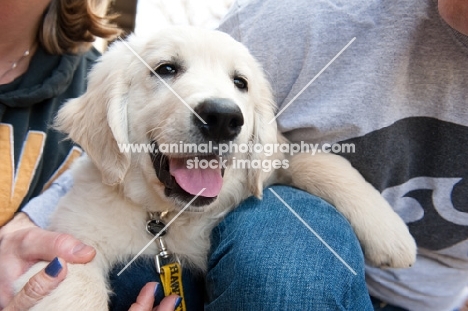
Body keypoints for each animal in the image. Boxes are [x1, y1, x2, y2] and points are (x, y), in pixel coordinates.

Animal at [15, 26, 416, 310]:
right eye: (166, 69)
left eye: (240, 83)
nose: (223, 118)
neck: (171, 218)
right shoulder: (75, 239)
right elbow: (75, 283)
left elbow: (317, 160)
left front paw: (390, 233)